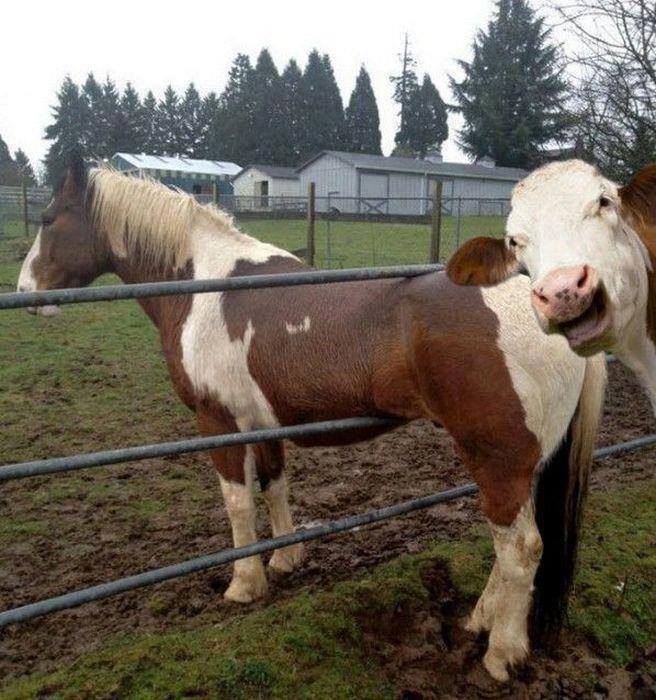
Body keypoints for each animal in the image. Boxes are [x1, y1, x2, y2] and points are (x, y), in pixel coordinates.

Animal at [17, 154, 606, 683]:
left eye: (47, 218)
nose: (24, 294)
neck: (203, 286)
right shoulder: (264, 422)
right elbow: (275, 486)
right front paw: (285, 560)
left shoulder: (218, 423)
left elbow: (237, 503)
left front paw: (245, 584)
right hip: (522, 463)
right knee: (509, 549)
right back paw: (480, 621)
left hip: (497, 459)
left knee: (521, 549)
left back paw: (501, 655)